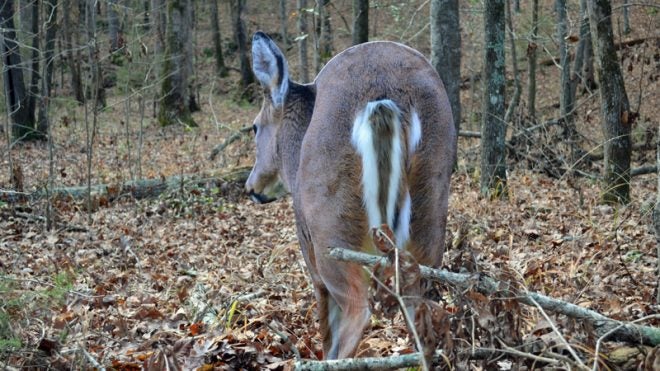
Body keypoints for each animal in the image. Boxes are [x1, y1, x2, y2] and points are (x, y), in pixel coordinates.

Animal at [245, 32, 456, 360]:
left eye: (255, 127)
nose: (251, 187)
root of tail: (384, 101)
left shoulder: (310, 252)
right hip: (428, 223)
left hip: (332, 233)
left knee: (355, 318)